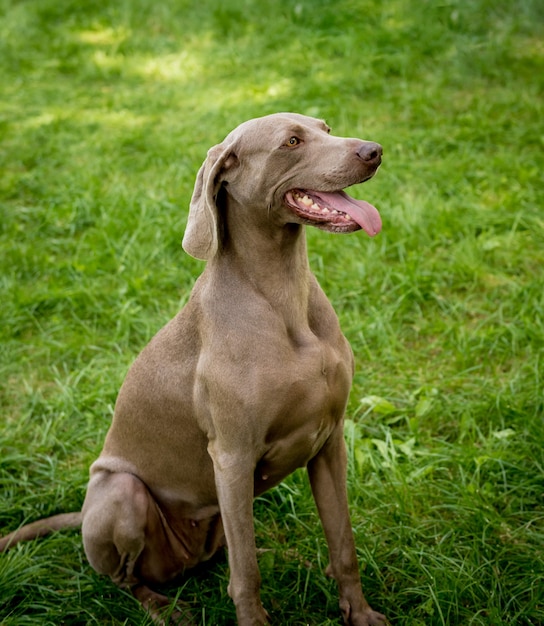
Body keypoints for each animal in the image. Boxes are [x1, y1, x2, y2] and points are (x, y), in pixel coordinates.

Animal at [2, 113, 388, 624]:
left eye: (325, 126)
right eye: (291, 142)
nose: (374, 151)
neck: (283, 297)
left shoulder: (329, 442)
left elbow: (343, 543)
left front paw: (360, 614)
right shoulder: (232, 456)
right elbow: (246, 578)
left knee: (231, 550)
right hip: (121, 491)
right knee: (128, 579)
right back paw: (163, 608)